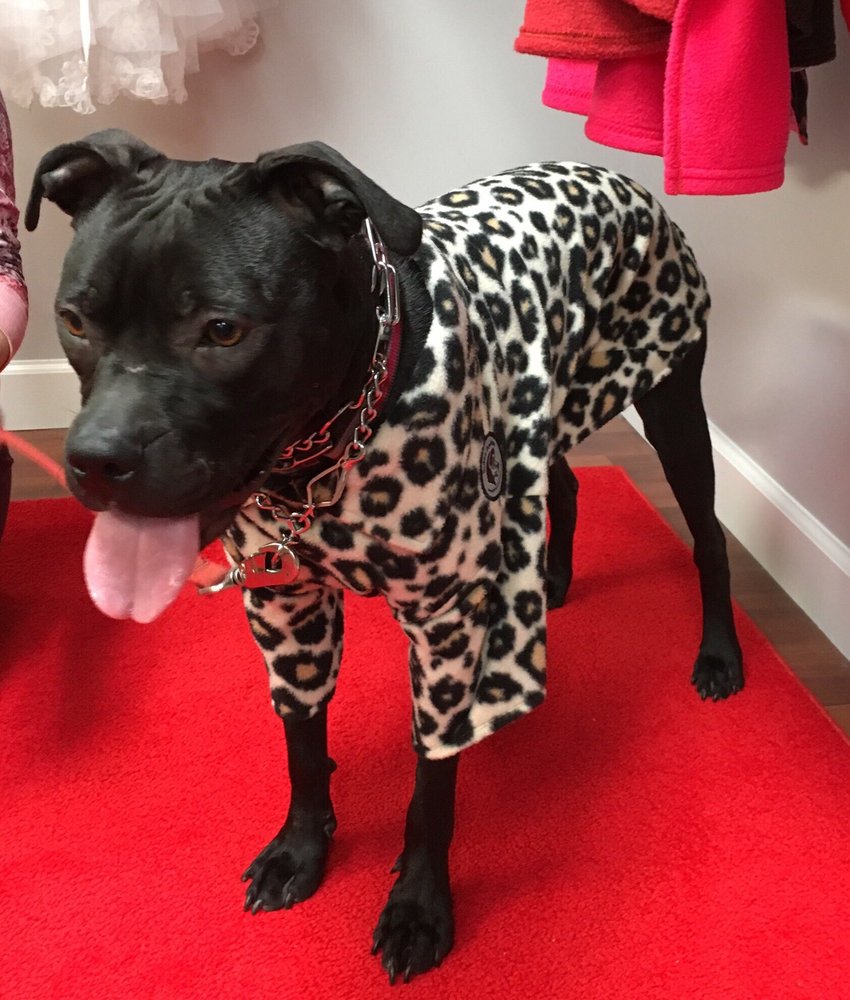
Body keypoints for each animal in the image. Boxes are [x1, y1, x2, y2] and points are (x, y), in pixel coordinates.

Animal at [27, 130, 744, 983]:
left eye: (224, 330)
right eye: (74, 319)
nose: (96, 461)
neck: (328, 449)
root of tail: (612, 174)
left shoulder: (446, 626)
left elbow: (432, 783)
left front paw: (418, 906)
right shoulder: (285, 605)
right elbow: (303, 741)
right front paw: (301, 848)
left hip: (674, 407)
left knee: (708, 538)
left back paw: (719, 654)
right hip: (545, 411)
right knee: (562, 482)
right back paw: (555, 578)